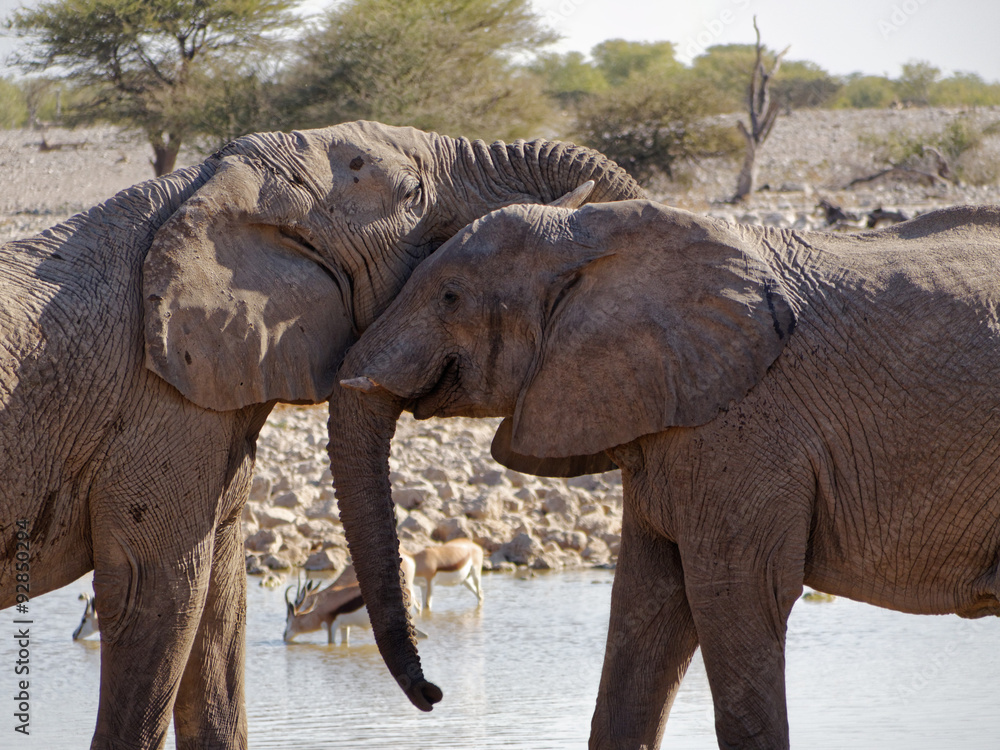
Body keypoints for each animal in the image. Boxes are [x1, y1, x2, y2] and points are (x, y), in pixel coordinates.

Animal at [0, 122, 643, 749]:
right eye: (413, 194)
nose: (434, 694)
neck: (203, 187)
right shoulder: (154, 410)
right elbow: (156, 596)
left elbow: (220, 612)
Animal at [329, 194, 1000, 749]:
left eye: (449, 297)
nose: (435, 694)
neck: (598, 235)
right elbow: (644, 612)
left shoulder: (748, 427)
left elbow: (738, 596)